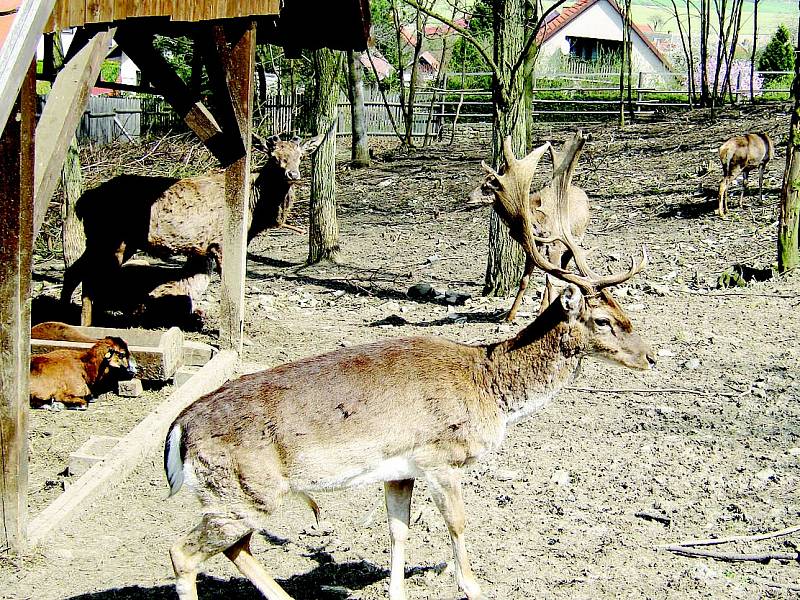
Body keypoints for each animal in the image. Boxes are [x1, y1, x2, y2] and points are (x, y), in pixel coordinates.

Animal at [60, 134, 322, 326]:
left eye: (301, 156)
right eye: (274, 157)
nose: (293, 174)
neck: (255, 212)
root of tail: (81, 202)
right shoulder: (221, 241)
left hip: (117, 241)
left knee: (77, 271)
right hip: (106, 237)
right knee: (87, 275)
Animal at [468, 131, 588, 318]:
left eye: (487, 187)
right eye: (482, 182)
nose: (468, 198)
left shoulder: (554, 245)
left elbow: (551, 279)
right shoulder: (533, 247)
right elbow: (525, 280)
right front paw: (510, 316)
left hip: (575, 239)